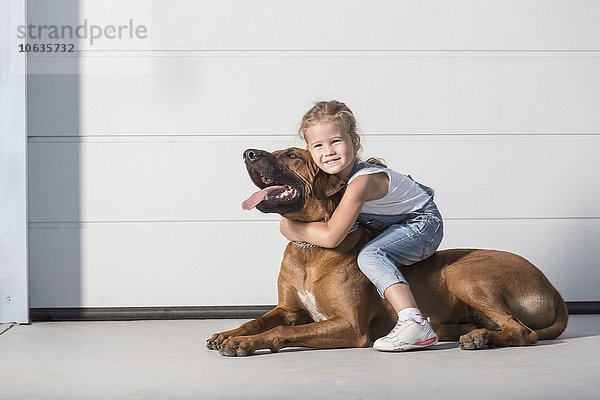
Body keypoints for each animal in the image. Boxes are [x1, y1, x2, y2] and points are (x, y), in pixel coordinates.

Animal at [206, 147, 568, 356]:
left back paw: (478, 338)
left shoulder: (350, 326)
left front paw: (243, 343)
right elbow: (258, 320)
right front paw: (229, 333)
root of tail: (553, 288)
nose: (248, 153)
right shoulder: (289, 309)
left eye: (292, 155)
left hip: (464, 272)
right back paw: (469, 333)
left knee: (523, 332)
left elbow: (282, 330)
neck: (310, 249)